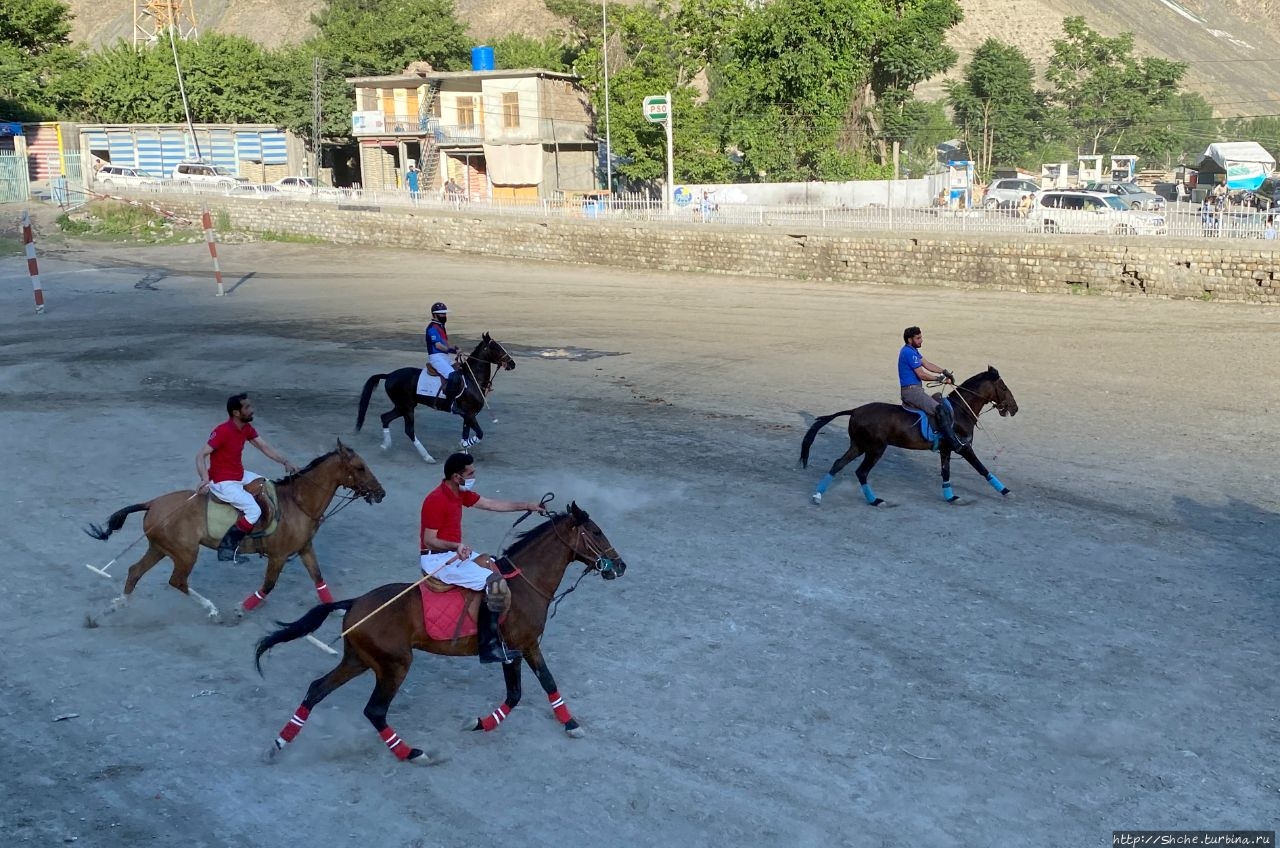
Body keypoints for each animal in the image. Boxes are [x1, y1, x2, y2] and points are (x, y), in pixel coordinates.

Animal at [85, 440, 384, 622]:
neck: (299, 502)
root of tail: (153, 503)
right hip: (185, 553)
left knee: (135, 571)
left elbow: (318, 578)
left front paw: (333, 609)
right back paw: (212, 610)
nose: (381, 493)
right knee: (177, 581)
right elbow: (268, 585)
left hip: (160, 548)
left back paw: (112, 608)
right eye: (360, 467)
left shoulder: (304, 548)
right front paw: (241, 609)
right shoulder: (278, 556)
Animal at [253, 502, 624, 768]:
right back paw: (413, 753)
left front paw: (564, 723)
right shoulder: (519, 646)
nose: (620, 566)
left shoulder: (526, 648)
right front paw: (565, 724)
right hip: (395, 664)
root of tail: (355, 602)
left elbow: (538, 686)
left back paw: (278, 744)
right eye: (596, 532)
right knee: (374, 710)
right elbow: (524, 690)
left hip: (359, 659)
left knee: (316, 690)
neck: (523, 583)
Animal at [355, 333, 514, 466]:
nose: (512, 364)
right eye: (496, 347)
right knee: (409, 430)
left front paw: (463, 450)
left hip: (402, 406)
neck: (472, 379)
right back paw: (427, 457)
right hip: (407, 407)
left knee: (385, 418)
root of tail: (389, 375)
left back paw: (385, 446)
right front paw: (461, 447)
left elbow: (465, 434)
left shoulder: (469, 415)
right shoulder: (468, 414)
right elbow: (479, 434)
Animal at [798, 366, 1018, 512]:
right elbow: (982, 469)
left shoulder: (946, 449)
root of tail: (855, 411)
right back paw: (876, 500)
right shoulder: (963, 447)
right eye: (1003, 387)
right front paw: (1006, 491)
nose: (1015, 408)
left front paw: (951, 497)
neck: (960, 411)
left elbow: (946, 473)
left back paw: (817, 495)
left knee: (838, 464)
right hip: (875, 449)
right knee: (861, 472)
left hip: (858, 446)